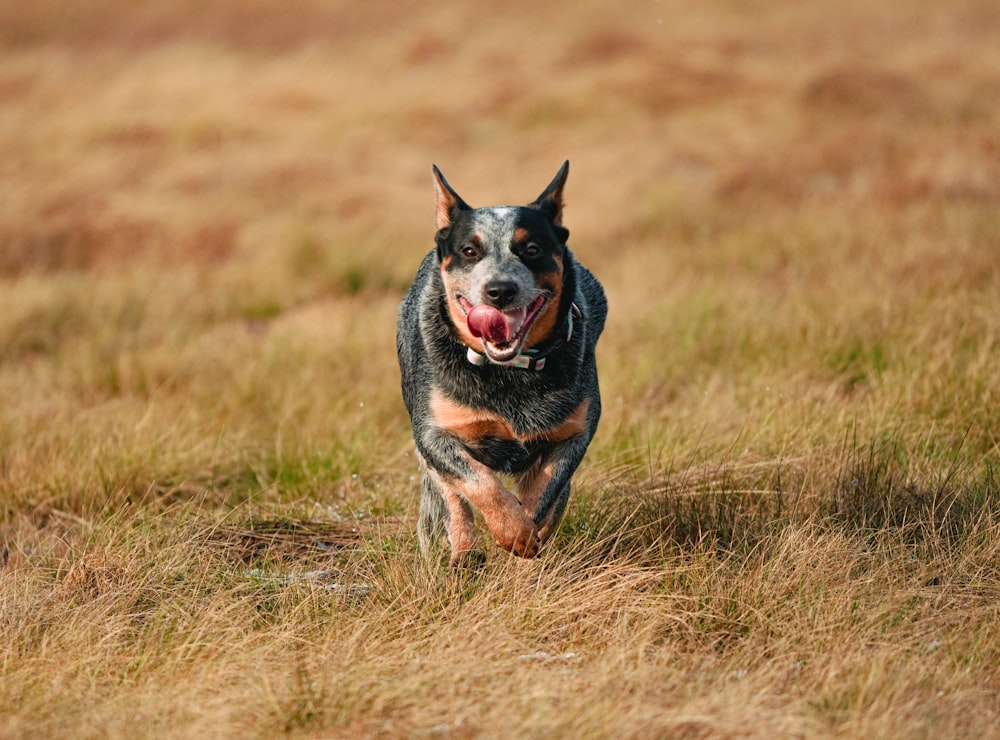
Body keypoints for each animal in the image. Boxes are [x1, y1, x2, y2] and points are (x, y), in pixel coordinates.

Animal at [394, 163, 604, 568]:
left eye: (532, 249)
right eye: (469, 250)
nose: (500, 290)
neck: (510, 370)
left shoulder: (575, 433)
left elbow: (545, 492)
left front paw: (527, 533)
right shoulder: (432, 434)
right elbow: (478, 482)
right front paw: (512, 531)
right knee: (452, 498)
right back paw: (463, 555)